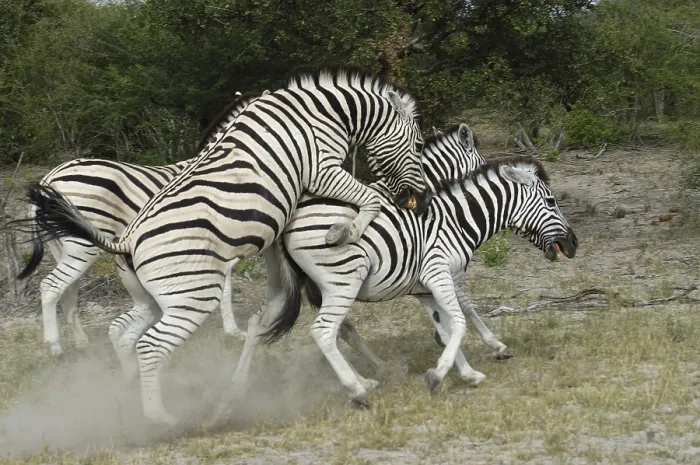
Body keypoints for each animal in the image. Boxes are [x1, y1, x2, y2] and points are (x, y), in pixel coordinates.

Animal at [16, 91, 270, 356]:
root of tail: (49, 178)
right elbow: (226, 289)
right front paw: (233, 331)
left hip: (60, 246)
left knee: (67, 294)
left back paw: (81, 343)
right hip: (82, 245)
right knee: (51, 286)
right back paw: (54, 346)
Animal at [227, 155, 578, 411]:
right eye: (550, 201)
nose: (574, 245)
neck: (457, 222)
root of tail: (289, 222)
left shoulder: (426, 290)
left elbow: (446, 329)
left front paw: (466, 373)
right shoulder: (439, 275)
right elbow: (461, 321)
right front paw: (440, 375)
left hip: (286, 285)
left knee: (260, 322)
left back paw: (238, 387)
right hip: (343, 280)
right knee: (324, 331)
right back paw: (358, 390)